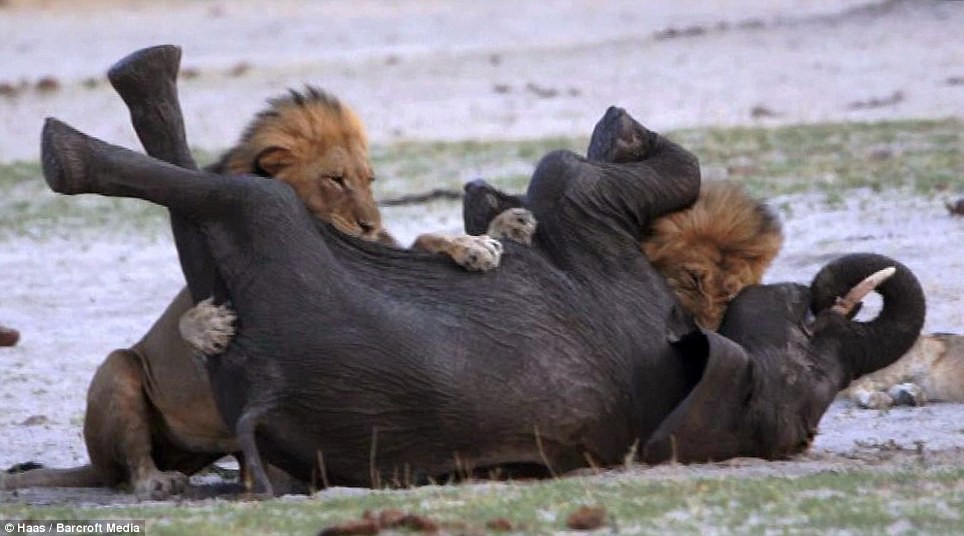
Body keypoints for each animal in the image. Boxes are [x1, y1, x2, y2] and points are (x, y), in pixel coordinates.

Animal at [39, 97, 928, 494]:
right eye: (814, 340)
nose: (834, 288)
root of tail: (264, 396)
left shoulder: (588, 219)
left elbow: (597, 171)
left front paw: (618, 138)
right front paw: (493, 216)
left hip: (273, 248)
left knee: (232, 196)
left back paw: (75, 142)